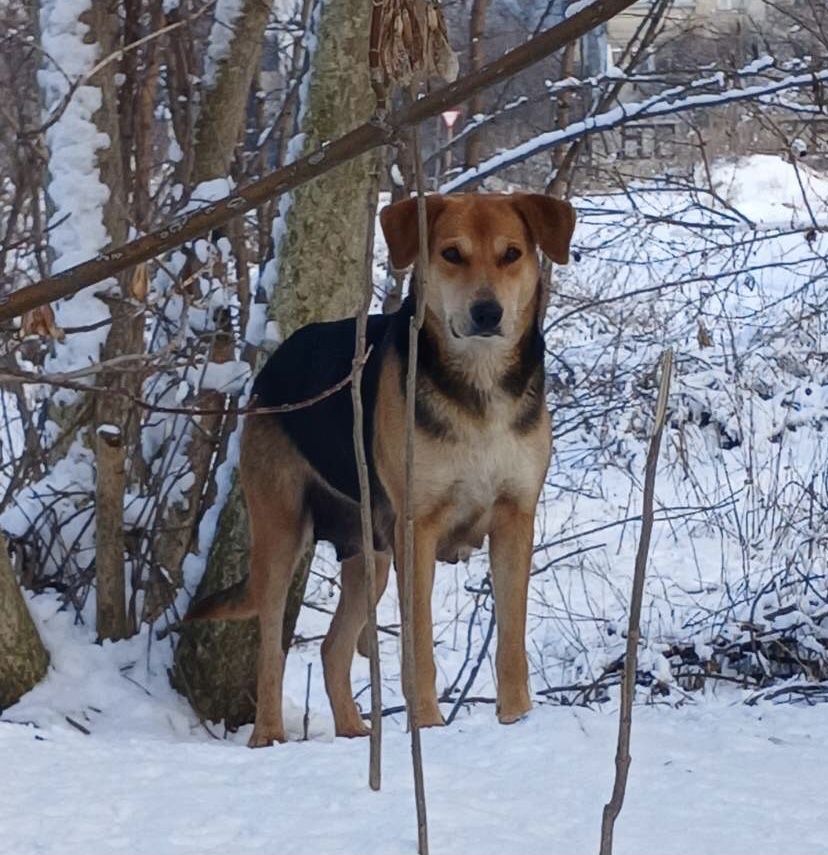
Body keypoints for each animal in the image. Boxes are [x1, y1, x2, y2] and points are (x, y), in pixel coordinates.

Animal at [188, 191, 576, 744]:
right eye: (452, 254)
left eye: (512, 254)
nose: (487, 312)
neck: (479, 391)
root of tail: (276, 359)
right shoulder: (418, 528)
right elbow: (419, 646)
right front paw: (428, 726)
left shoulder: (515, 517)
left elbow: (511, 641)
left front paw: (517, 719)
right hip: (281, 529)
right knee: (271, 647)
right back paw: (269, 735)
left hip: (370, 551)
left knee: (332, 648)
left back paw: (353, 732)